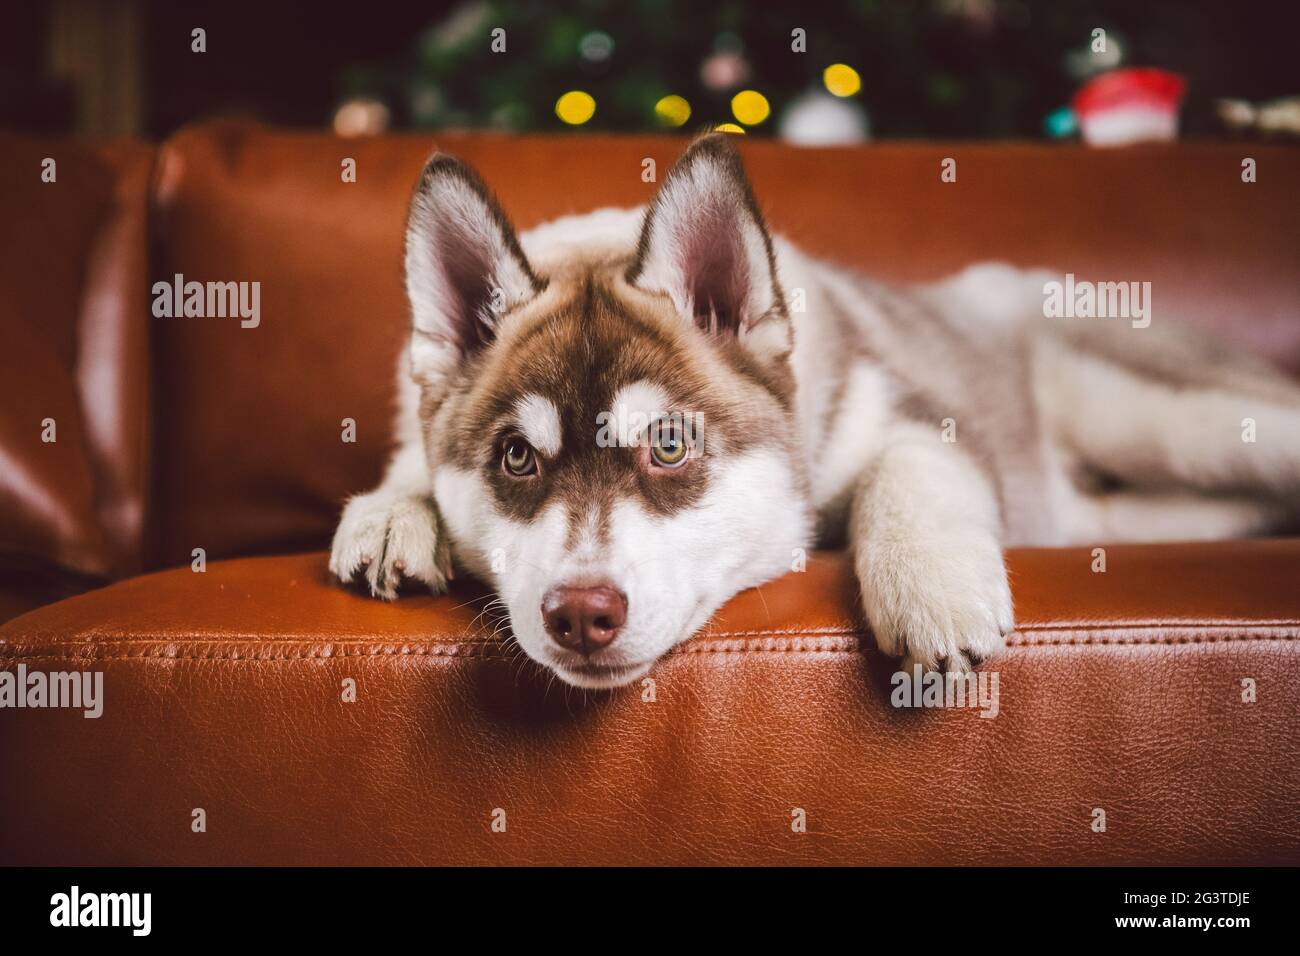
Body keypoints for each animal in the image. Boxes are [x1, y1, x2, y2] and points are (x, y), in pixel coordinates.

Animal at [332, 134, 1300, 686]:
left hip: (1162, 416)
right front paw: (391, 512)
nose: (579, 614)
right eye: (517, 459)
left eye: (670, 444)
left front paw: (933, 589)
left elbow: (903, 472)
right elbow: (411, 463)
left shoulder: (914, 415)